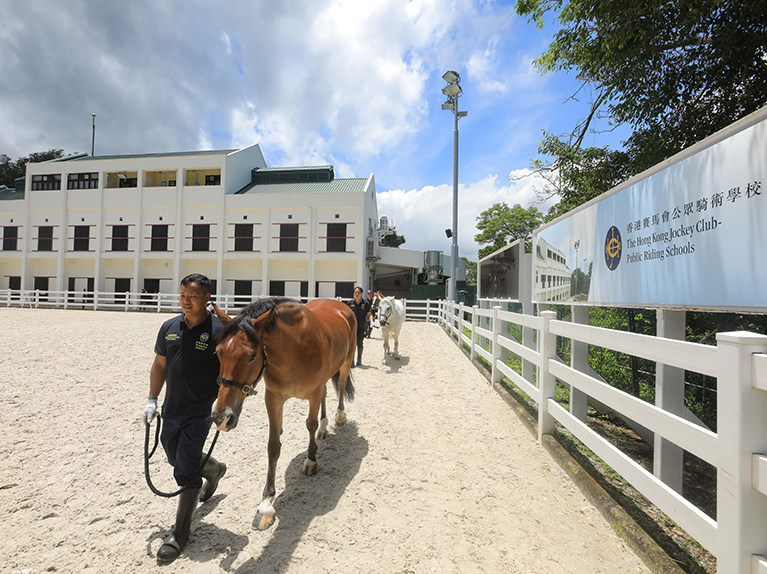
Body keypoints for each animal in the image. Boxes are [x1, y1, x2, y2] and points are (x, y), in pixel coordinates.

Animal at [208, 302, 356, 532]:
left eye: (252, 355)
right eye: (218, 353)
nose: (221, 415)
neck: (294, 349)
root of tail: (340, 305)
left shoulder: (312, 394)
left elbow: (310, 424)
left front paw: (311, 460)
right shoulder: (274, 398)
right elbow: (273, 445)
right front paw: (266, 506)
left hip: (346, 362)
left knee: (340, 384)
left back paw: (339, 417)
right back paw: (324, 429)